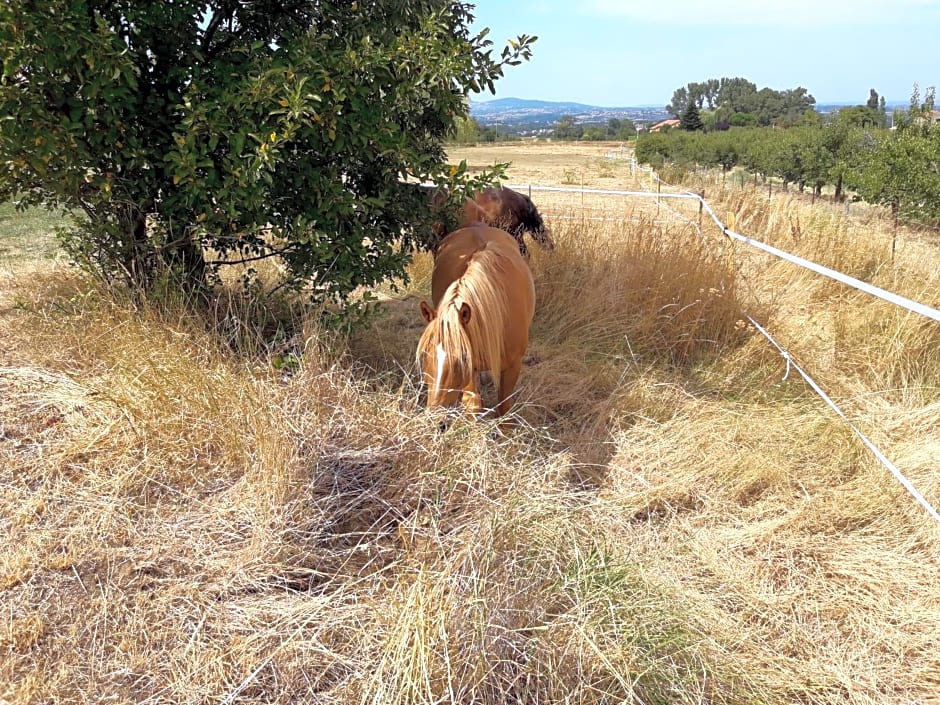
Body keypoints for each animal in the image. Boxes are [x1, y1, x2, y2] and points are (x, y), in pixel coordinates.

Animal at [414, 223, 532, 416]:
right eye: (425, 354)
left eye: (462, 357)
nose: (434, 414)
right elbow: (472, 402)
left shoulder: (512, 366)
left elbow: (504, 408)